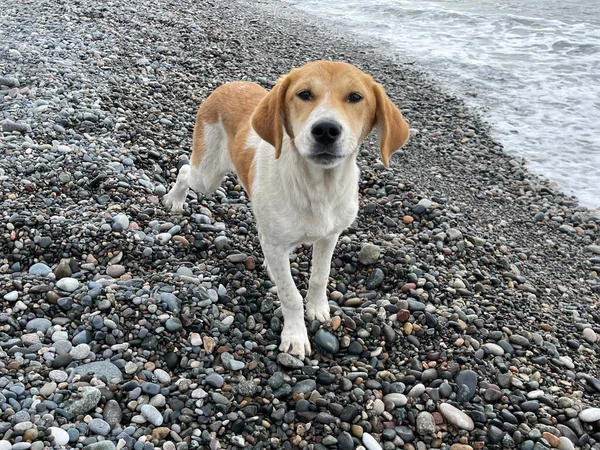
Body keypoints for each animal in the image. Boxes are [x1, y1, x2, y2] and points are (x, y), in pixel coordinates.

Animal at [162, 59, 410, 358]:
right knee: (185, 171)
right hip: (208, 175)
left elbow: (320, 276)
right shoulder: (279, 243)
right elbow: (290, 295)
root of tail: (231, 84)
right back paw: (175, 199)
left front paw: (318, 308)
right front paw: (295, 336)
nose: (325, 130)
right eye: (304, 94)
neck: (318, 188)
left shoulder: (330, 236)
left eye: (355, 97)